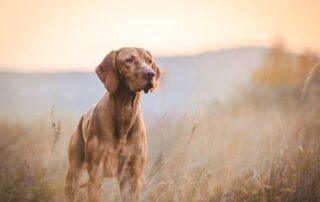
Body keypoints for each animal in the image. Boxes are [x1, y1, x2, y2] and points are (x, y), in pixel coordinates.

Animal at [64, 47, 160, 202]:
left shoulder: (133, 178)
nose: (150, 74)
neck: (124, 112)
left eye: (149, 61)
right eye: (129, 60)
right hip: (73, 173)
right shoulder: (95, 175)